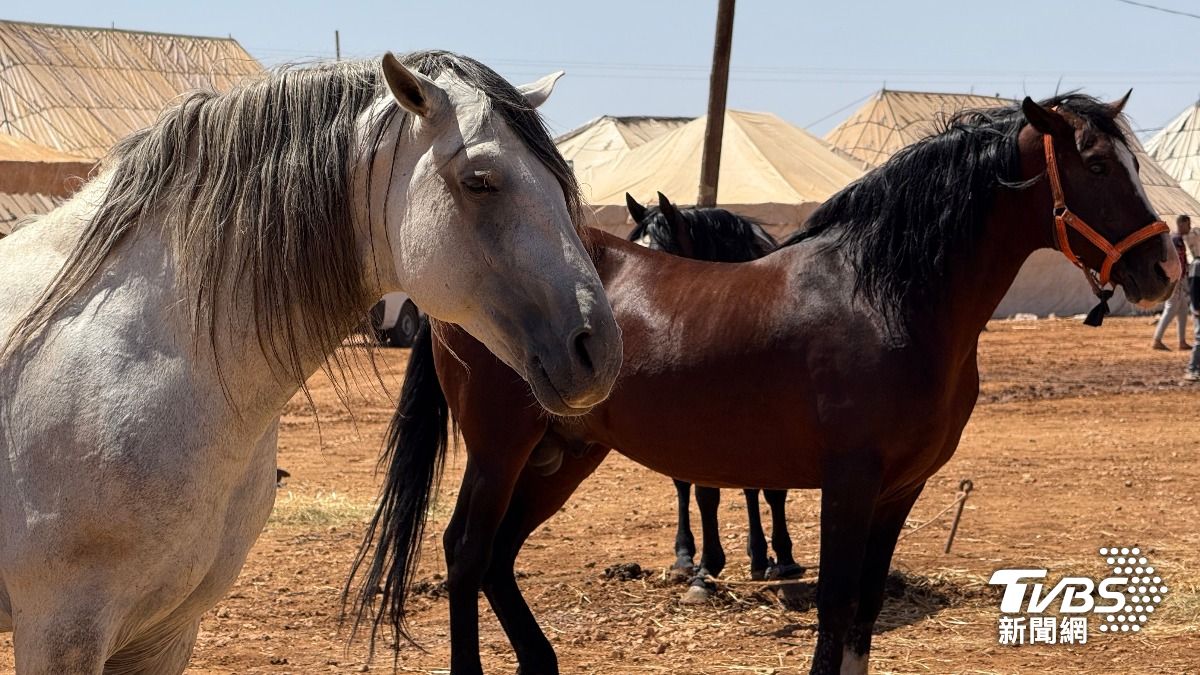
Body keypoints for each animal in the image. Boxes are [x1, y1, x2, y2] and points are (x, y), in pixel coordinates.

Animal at [625, 191, 802, 600]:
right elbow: (704, 491)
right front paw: (705, 567)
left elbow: (772, 490)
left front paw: (783, 556)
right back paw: (688, 556)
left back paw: (761, 556)